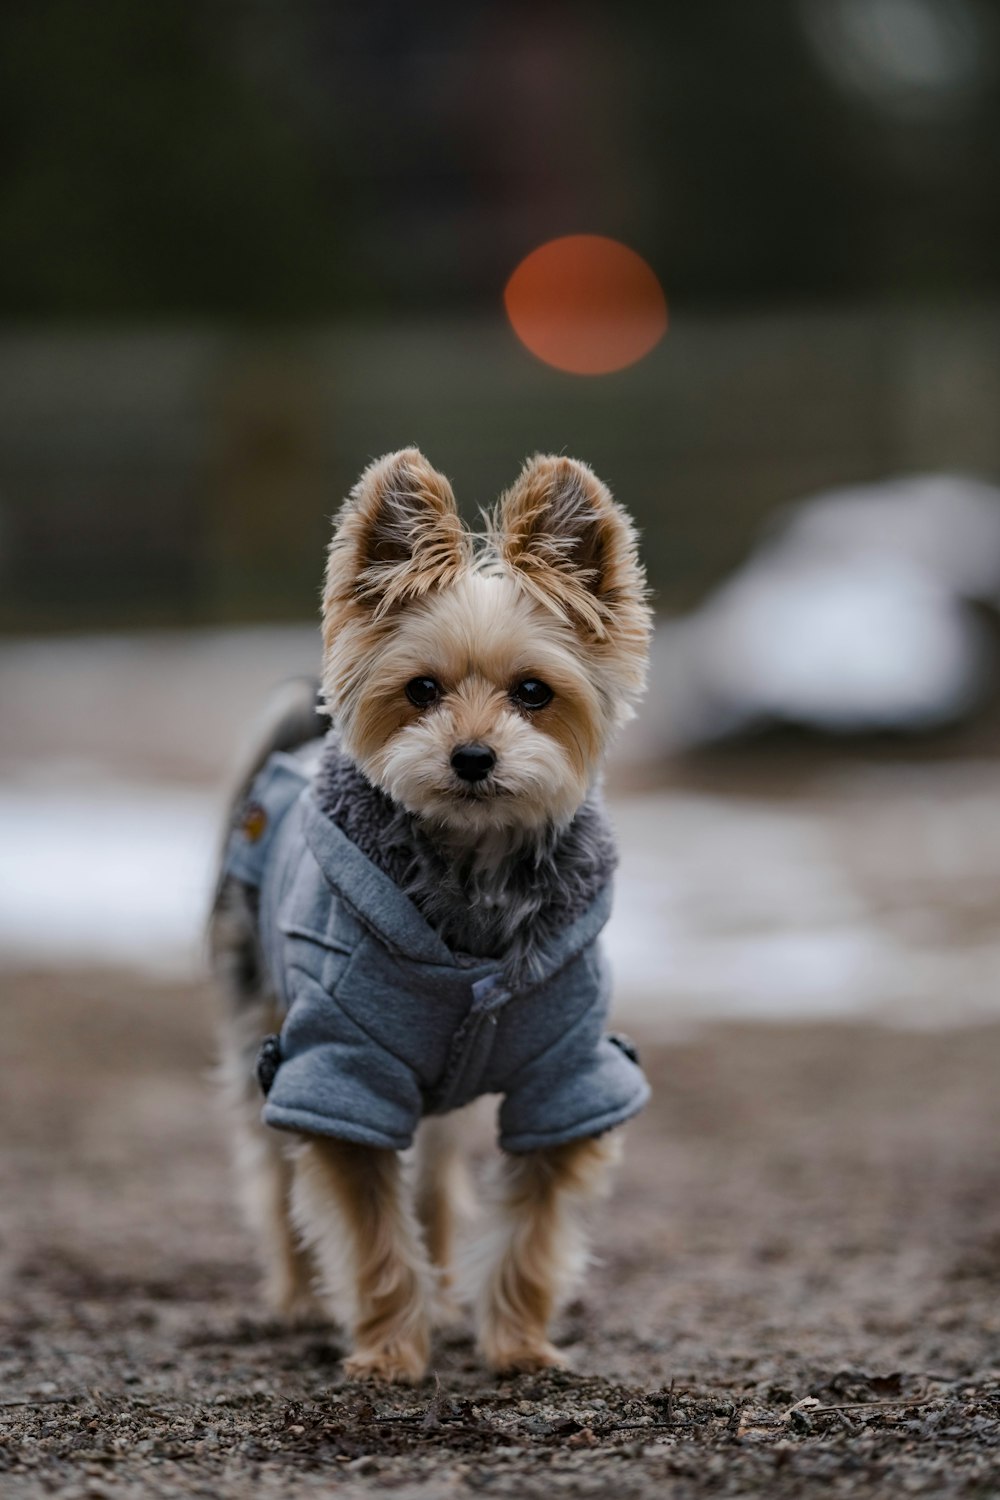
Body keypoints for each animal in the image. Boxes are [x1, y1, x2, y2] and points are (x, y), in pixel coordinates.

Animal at [209, 447, 650, 1380]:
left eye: (534, 692)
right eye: (420, 690)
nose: (473, 757)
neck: (474, 884)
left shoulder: (569, 1074)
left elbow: (533, 1230)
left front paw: (518, 1344)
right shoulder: (339, 1072)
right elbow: (371, 1231)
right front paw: (388, 1353)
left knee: (439, 1183)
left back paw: (446, 1291)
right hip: (259, 1034)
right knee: (274, 1174)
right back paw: (299, 1299)